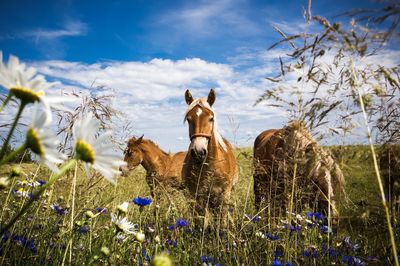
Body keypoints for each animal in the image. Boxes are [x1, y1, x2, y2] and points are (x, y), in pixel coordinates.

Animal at [181, 89, 238, 229]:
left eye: (211, 118)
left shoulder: (224, 195)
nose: (198, 152)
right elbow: (201, 223)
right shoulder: (196, 196)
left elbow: (222, 221)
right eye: (189, 119)